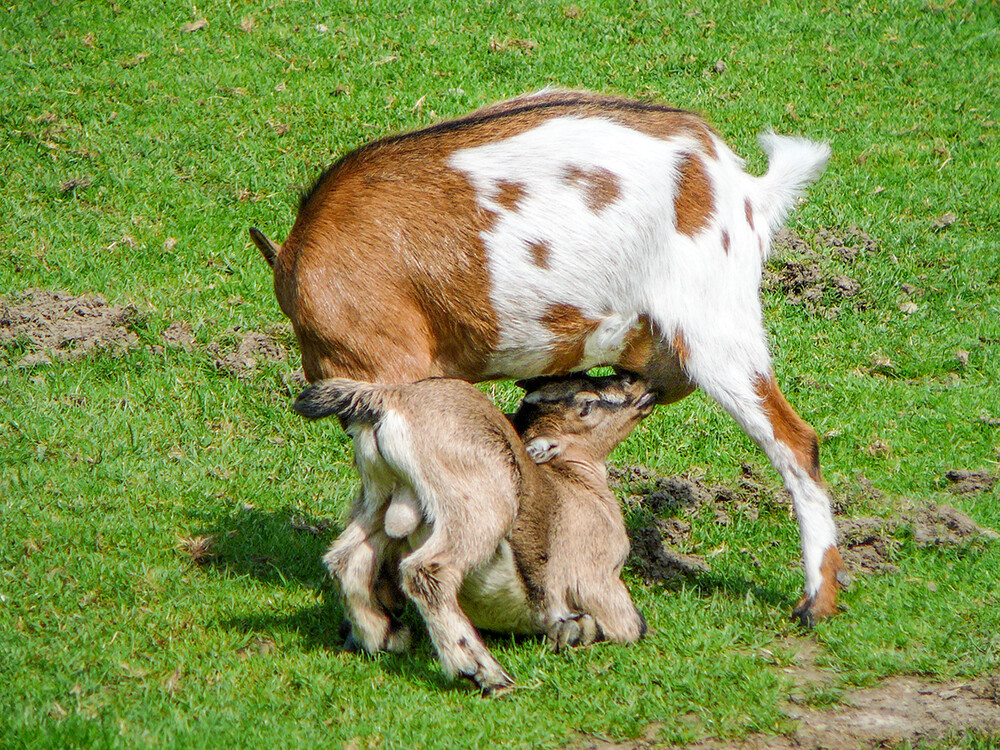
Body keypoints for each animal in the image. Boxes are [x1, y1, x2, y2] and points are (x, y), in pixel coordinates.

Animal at [294, 374, 656, 696]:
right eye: (587, 405)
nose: (638, 384)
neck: (573, 482)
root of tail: (391, 397)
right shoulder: (598, 578)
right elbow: (631, 626)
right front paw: (574, 631)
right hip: (480, 508)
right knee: (427, 572)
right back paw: (485, 675)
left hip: (378, 501)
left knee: (345, 559)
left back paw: (384, 636)